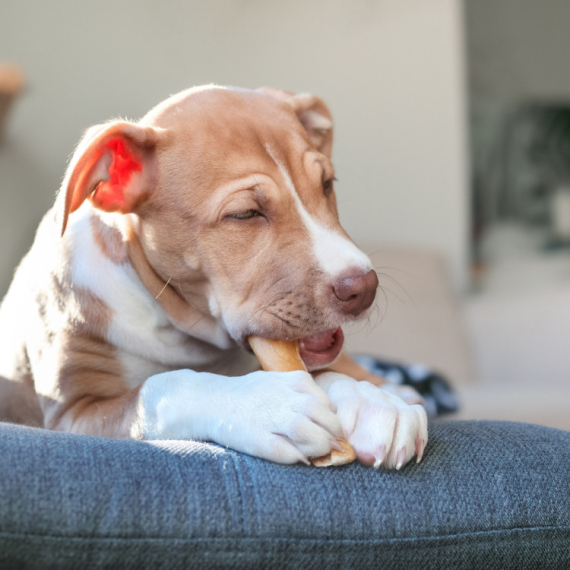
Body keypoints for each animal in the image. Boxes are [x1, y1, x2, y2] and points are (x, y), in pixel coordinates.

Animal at [0, 84, 426, 466]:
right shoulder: (72, 412)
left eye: (326, 185)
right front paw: (268, 405)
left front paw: (372, 403)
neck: (180, 329)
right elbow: (162, 388)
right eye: (245, 214)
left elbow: (327, 370)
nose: (364, 287)